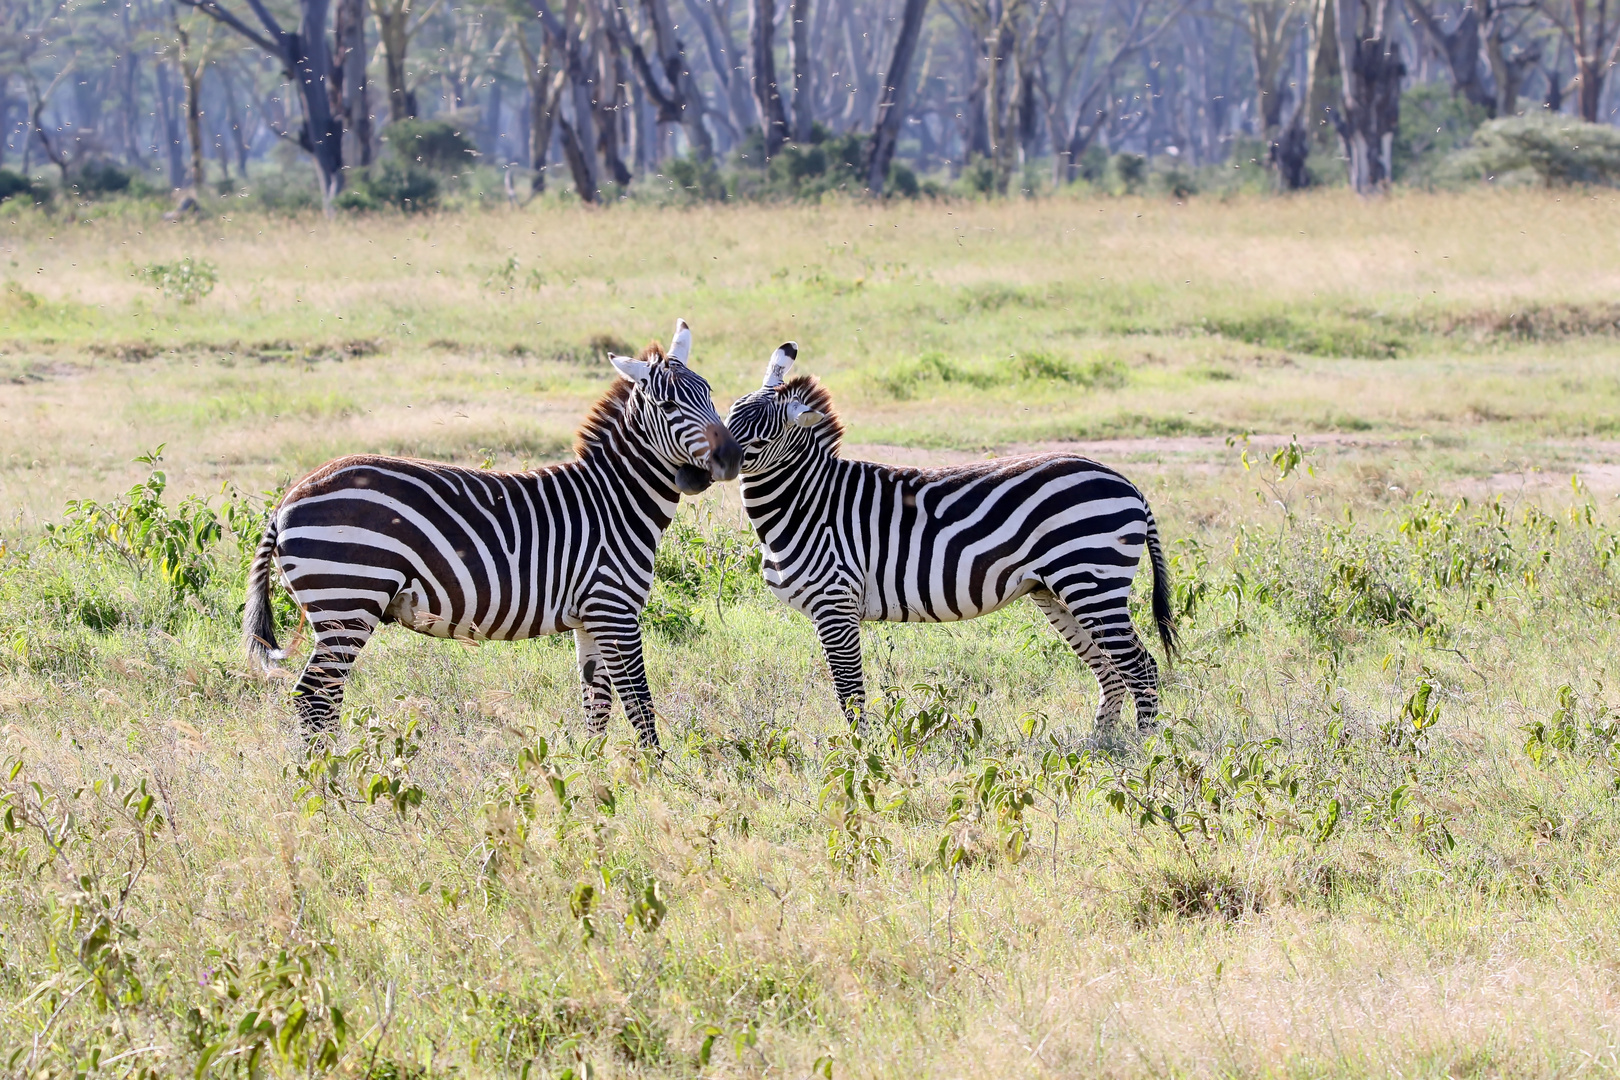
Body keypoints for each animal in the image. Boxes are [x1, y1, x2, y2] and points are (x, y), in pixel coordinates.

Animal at [241, 317, 741, 748]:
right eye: (668, 405)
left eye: (709, 392)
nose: (732, 458)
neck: (615, 500)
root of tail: (288, 500)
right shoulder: (614, 609)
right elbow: (639, 703)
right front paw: (655, 777)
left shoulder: (589, 618)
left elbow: (596, 705)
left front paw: (593, 775)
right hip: (348, 600)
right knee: (314, 697)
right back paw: (327, 780)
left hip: (340, 605)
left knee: (319, 697)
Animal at [725, 341, 1179, 738]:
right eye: (727, 416)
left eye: (760, 440)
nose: (712, 462)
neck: (808, 502)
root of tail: (1127, 483)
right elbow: (848, 691)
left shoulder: (835, 604)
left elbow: (850, 693)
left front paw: (860, 754)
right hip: (1056, 590)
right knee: (1109, 669)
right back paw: (1101, 746)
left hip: (1092, 581)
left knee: (1141, 667)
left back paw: (1144, 749)